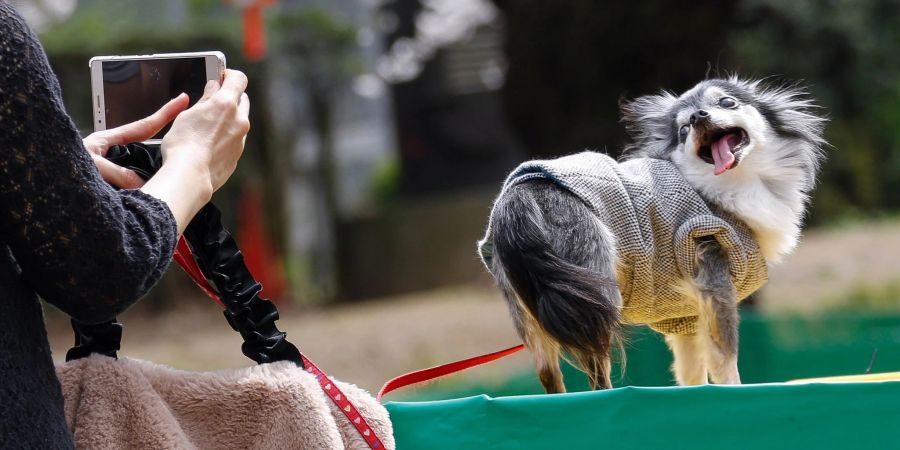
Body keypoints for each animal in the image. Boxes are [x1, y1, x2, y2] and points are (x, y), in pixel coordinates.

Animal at [482, 76, 828, 390]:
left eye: (727, 102)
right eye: (684, 130)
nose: (697, 116)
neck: (727, 185)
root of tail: (517, 196)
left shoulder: (686, 314)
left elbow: (691, 370)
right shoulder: (714, 274)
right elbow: (725, 356)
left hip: (530, 304)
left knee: (547, 372)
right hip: (595, 292)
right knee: (595, 371)